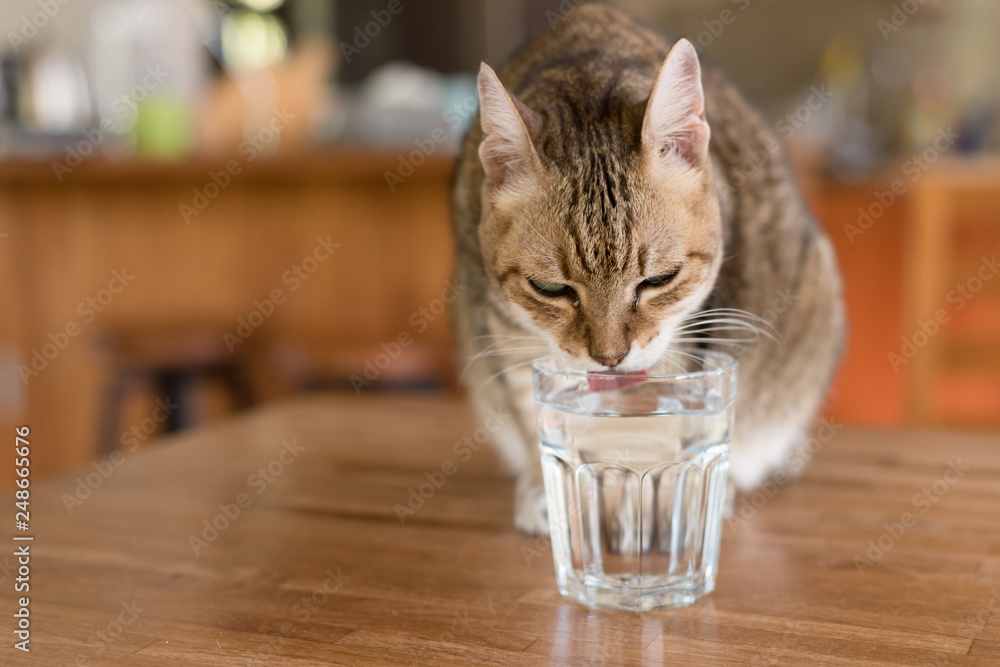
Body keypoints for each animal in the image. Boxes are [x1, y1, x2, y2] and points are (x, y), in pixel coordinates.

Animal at [452, 2, 844, 536]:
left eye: (659, 279)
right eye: (549, 288)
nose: (610, 358)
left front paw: (655, 496)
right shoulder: (500, 327)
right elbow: (532, 411)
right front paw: (559, 492)